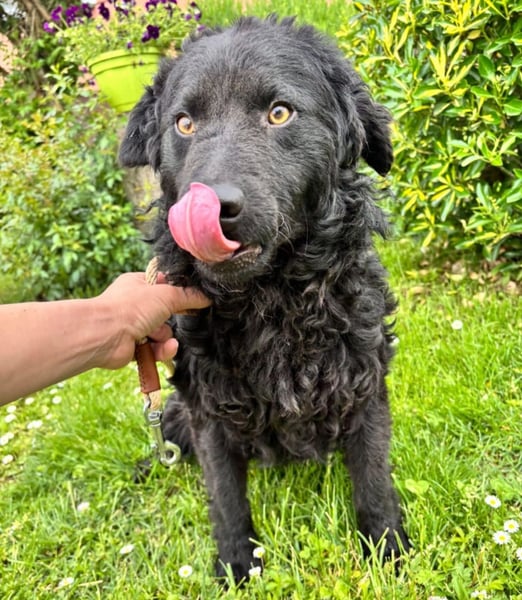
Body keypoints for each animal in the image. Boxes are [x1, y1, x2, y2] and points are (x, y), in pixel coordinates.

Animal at [120, 16, 410, 584]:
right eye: (183, 124)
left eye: (279, 112)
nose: (213, 207)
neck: (272, 301)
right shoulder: (206, 408)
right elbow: (226, 497)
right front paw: (237, 565)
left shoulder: (365, 382)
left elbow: (373, 476)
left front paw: (388, 549)